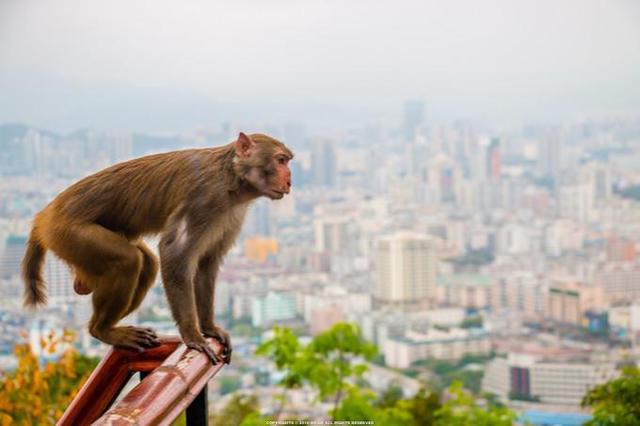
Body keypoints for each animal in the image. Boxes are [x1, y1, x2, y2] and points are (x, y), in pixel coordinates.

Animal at [20, 132, 296, 362]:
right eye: (281, 160)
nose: (290, 180)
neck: (231, 177)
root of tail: (44, 217)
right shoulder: (204, 200)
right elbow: (174, 253)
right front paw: (192, 335)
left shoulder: (232, 214)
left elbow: (207, 263)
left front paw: (208, 327)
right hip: (70, 233)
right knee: (128, 261)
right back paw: (103, 329)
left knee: (147, 264)